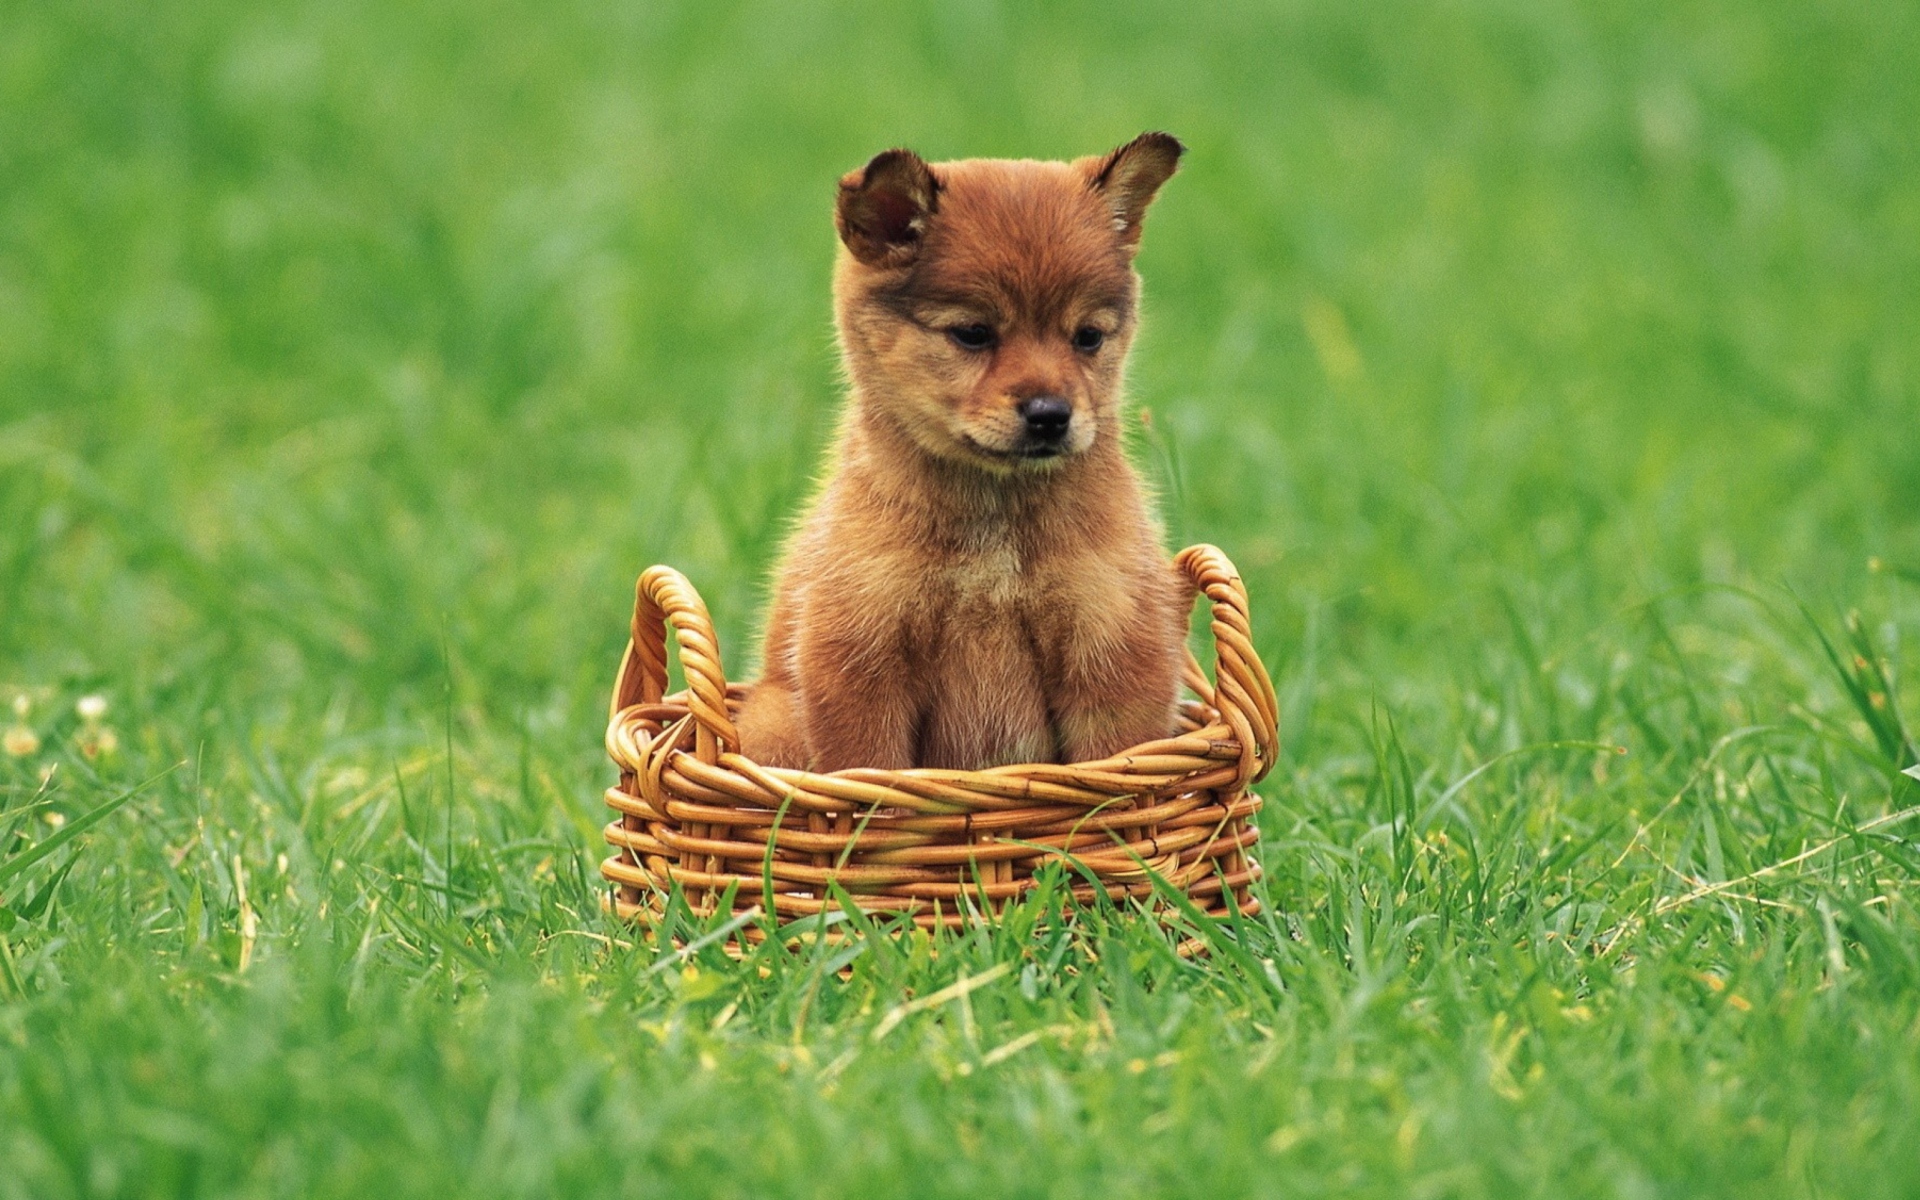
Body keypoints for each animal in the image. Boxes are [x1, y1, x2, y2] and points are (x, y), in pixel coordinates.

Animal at [729, 130, 1182, 768]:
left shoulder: (1112, 648)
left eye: (1088, 337)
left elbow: (1119, 767)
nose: (1051, 415)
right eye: (972, 334)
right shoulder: (859, 657)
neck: (992, 524)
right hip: (774, 723)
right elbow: (871, 774)